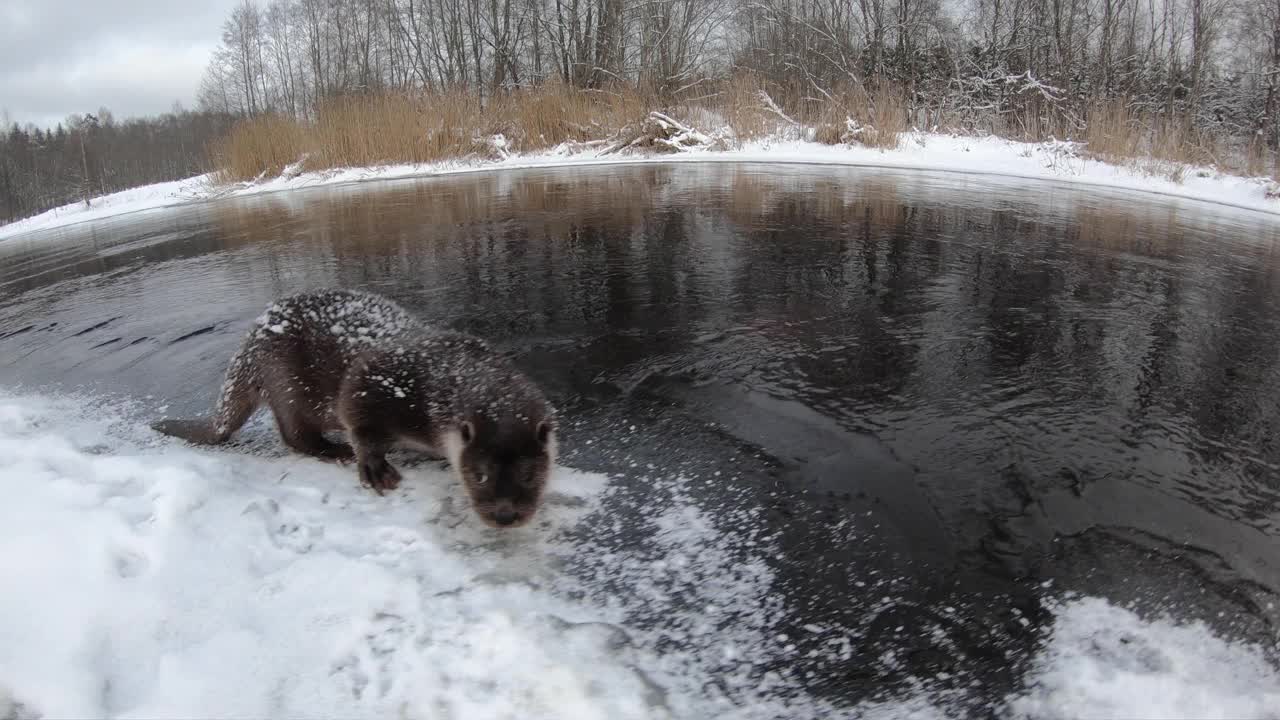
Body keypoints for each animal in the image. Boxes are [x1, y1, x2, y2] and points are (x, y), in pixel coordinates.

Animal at [148, 286, 555, 527]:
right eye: (481, 474)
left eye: (529, 475)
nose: (505, 514)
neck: (438, 375)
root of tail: (254, 335)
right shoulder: (378, 380)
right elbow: (355, 414)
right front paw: (374, 467)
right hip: (286, 380)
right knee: (295, 435)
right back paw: (336, 450)